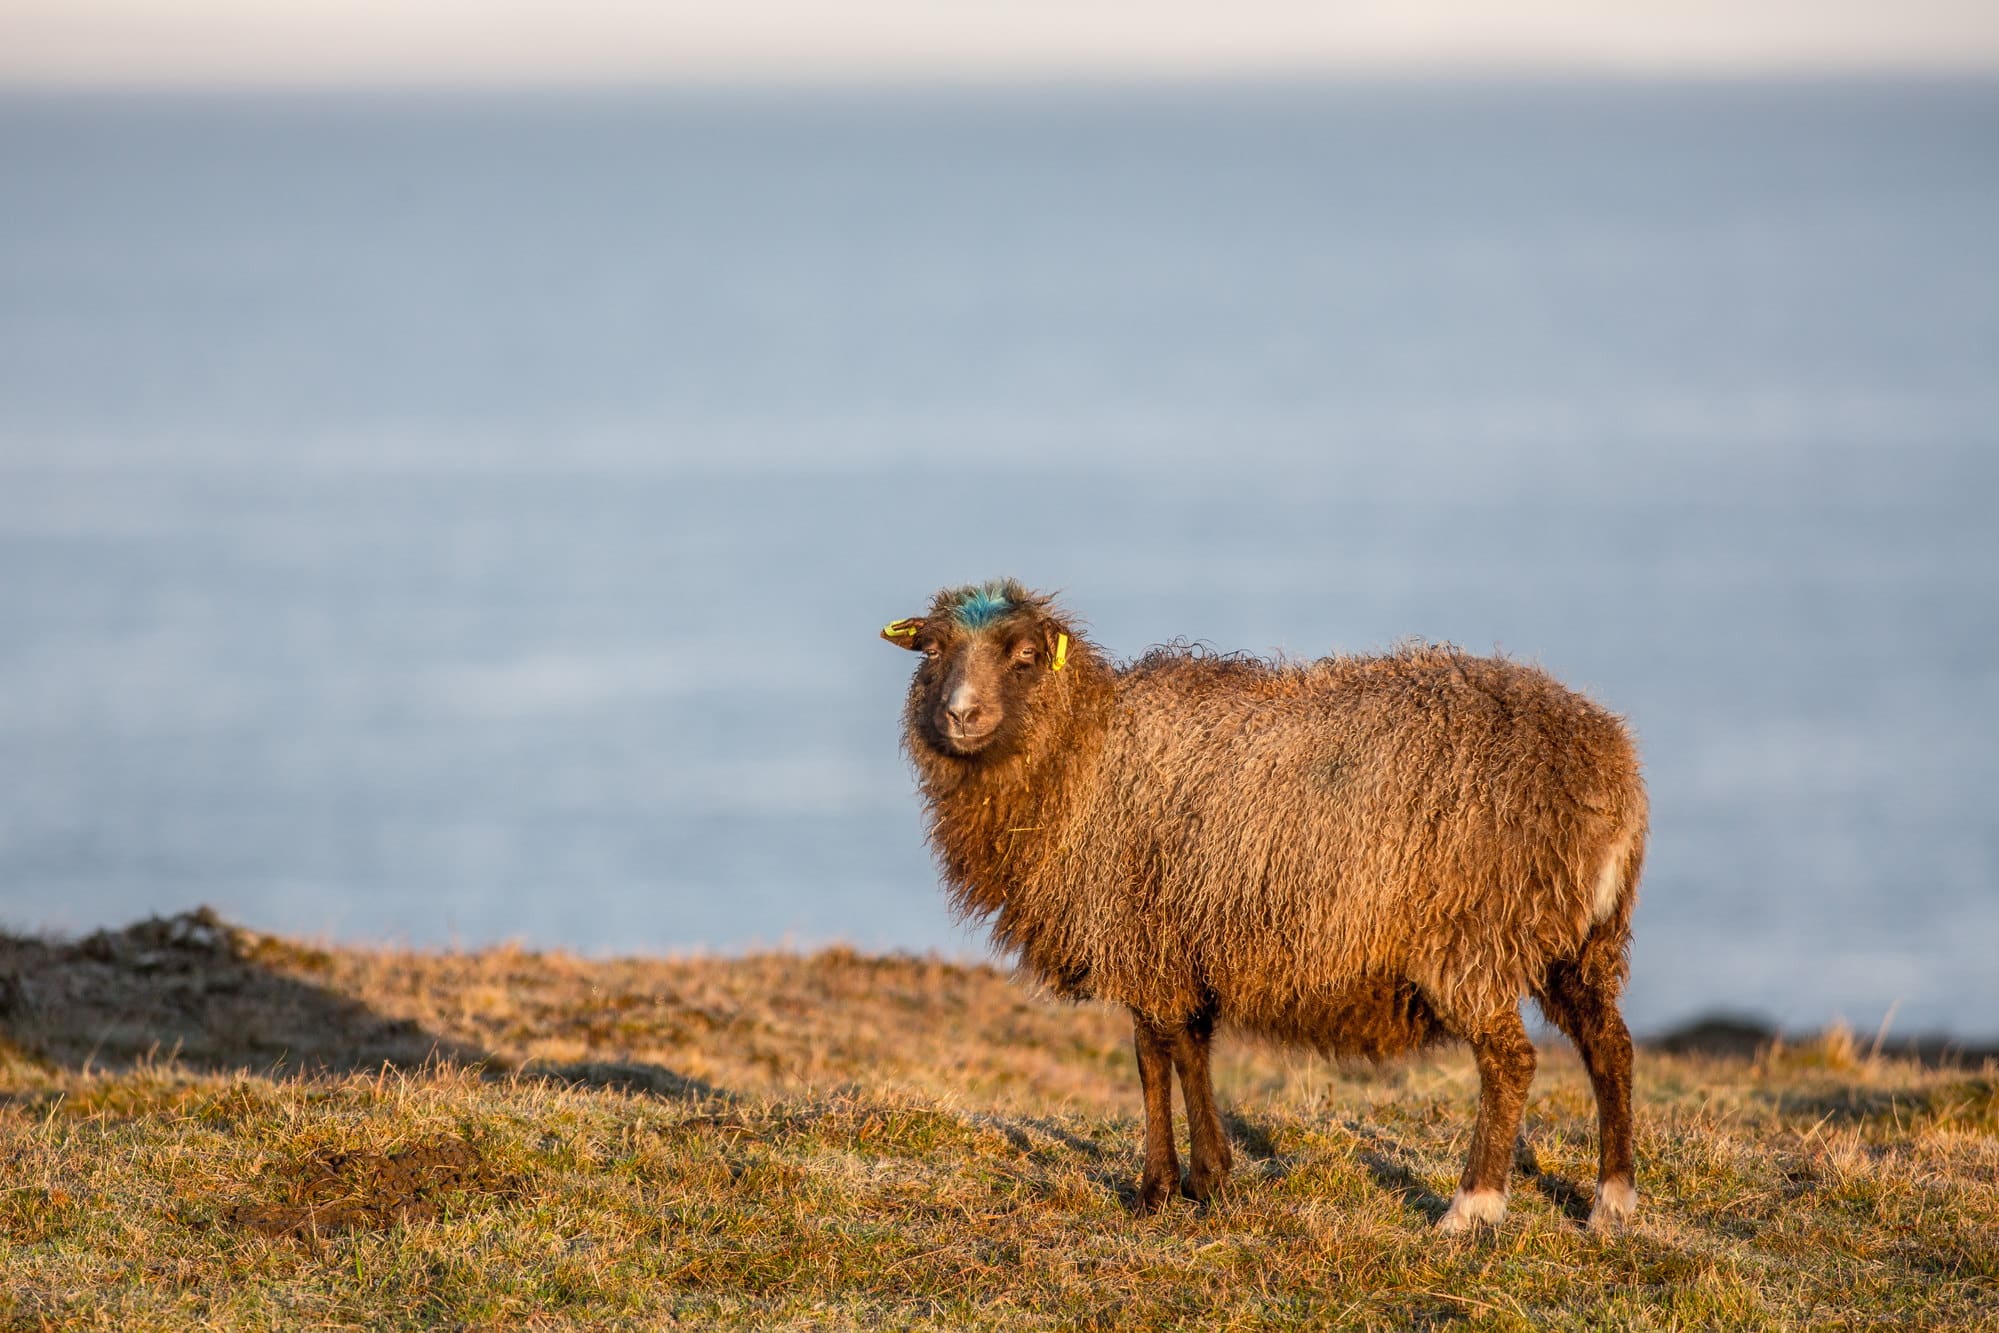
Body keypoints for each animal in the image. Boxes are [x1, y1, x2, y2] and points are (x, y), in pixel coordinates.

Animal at [883, 579, 1647, 1239]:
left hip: (1476, 933)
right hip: (1580, 939)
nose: (960, 714)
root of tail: (1609, 771)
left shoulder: (1141, 935)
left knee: (1510, 1062)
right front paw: (1209, 1179)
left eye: (1025, 655)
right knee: (1609, 1046)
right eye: (932, 650)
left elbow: (1152, 1058)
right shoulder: (1180, 942)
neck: (1085, 758)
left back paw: (1473, 1207)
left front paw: (1157, 1189)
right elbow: (1189, 1050)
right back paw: (1612, 1200)